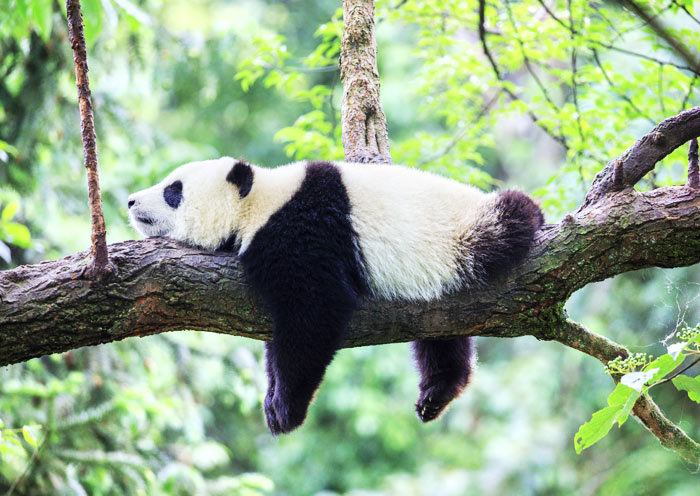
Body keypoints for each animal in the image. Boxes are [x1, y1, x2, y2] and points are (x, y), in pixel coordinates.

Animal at [128, 157, 544, 434]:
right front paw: (272, 396)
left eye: (173, 190)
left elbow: (314, 312)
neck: (259, 201)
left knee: (510, 219)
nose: (131, 201)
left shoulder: (303, 231)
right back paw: (437, 392)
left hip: (466, 235)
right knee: (441, 334)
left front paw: (285, 409)